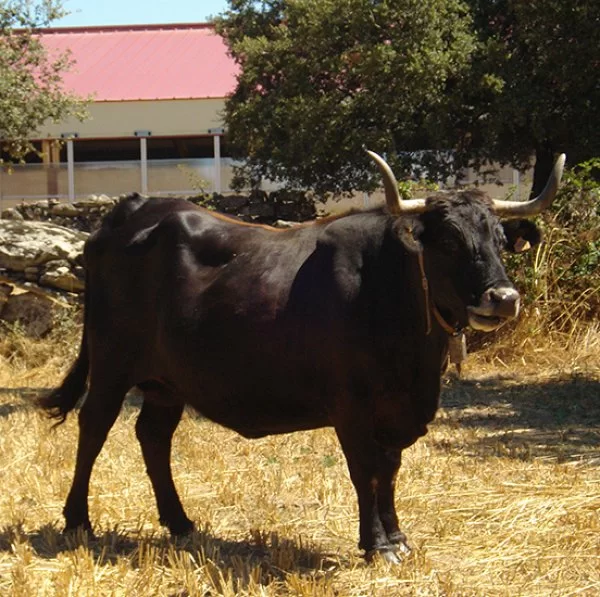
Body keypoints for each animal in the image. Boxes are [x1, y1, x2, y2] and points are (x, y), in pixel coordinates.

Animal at [39, 151, 564, 560]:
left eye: (501, 240)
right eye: (450, 241)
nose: (503, 298)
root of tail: (135, 208)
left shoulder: (398, 409)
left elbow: (390, 470)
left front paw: (397, 536)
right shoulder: (351, 406)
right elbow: (365, 470)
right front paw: (377, 545)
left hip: (167, 382)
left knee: (153, 436)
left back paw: (181, 523)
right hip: (111, 363)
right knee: (94, 426)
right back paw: (78, 521)